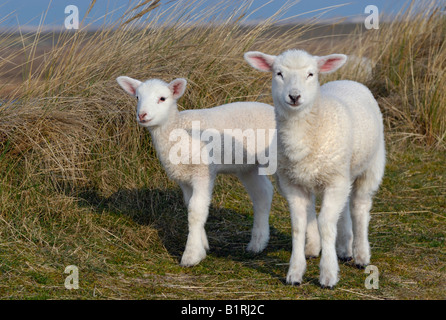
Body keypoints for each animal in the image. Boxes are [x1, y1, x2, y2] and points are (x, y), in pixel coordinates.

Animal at [116, 76, 276, 266]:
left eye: (162, 98)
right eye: (137, 97)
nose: (142, 115)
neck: (176, 130)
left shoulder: (203, 172)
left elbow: (196, 210)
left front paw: (191, 255)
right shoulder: (184, 178)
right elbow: (190, 205)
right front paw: (202, 244)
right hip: (247, 166)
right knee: (263, 194)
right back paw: (258, 243)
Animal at [242, 49, 386, 288]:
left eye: (311, 74)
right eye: (278, 73)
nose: (294, 96)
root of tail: (348, 80)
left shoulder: (335, 181)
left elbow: (326, 224)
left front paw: (328, 274)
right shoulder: (292, 184)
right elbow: (299, 225)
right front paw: (295, 272)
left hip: (370, 167)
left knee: (359, 207)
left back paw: (361, 255)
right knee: (337, 209)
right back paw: (338, 249)